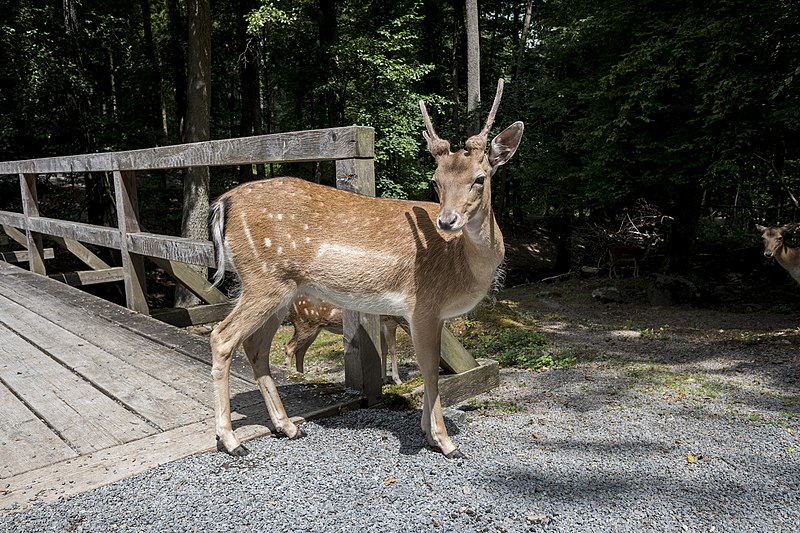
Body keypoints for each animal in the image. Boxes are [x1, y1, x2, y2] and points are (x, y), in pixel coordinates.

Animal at [208, 79, 524, 458]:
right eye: (436, 181)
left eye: (480, 178)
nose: (447, 221)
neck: (462, 267)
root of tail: (223, 203)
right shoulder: (422, 305)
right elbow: (430, 370)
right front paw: (446, 443)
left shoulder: (431, 314)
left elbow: (428, 368)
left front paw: (428, 433)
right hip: (263, 279)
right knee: (222, 337)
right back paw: (231, 440)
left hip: (277, 290)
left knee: (256, 346)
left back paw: (288, 427)